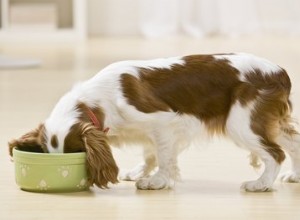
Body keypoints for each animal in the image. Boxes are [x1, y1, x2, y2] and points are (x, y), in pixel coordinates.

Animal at [8, 52, 300, 191]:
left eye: (76, 153)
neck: (98, 100)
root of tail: (280, 72)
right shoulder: (148, 132)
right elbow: (150, 153)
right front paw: (141, 171)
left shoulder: (164, 122)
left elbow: (164, 156)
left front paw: (157, 181)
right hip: (269, 122)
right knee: (293, 144)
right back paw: (295, 176)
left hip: (241, 123)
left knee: (274, 154)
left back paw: (260, 184)